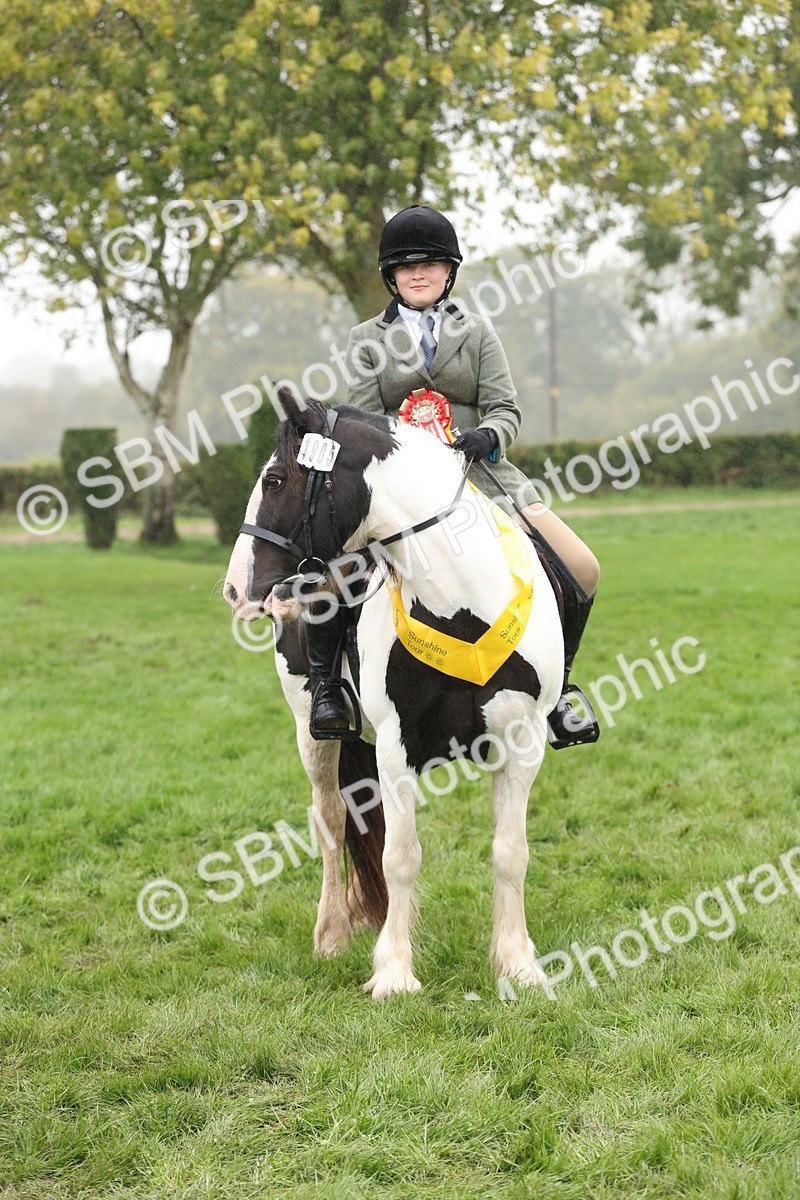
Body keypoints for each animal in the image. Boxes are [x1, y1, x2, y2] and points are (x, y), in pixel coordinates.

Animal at [224, 386, 564, 999]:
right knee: (331, 820)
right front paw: (394, 973)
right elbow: (400, 856)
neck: (461, 607)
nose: (236, 588)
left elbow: (511, 852)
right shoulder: (395, 746)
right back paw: (333, 934)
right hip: (311, 729)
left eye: (276, 480)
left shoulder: (522, 744)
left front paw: (517, 965)